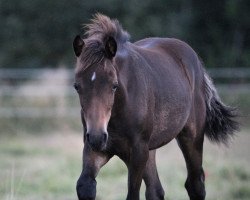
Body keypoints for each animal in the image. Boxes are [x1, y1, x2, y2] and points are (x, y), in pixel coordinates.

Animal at [72, 13, 238, 199]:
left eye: (114, 85)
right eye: (77, 86)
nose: (97, 137)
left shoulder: (137, 151)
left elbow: (132, 194)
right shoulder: (97, 149)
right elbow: (85, 186)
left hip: (191, 137)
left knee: (195, 184)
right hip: (149, 150)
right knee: (155, 190)